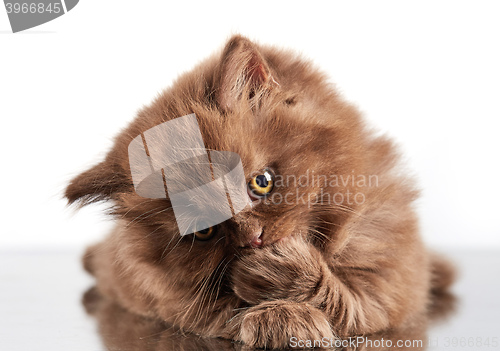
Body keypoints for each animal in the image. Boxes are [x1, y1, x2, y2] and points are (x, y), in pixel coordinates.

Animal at [64, 35, 456, 350]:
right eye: (204, 231)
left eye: (261, 182)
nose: (253, 239)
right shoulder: (168, 299)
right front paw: (280, 319)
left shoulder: (393, 273)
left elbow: (352, 298)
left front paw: (280, 280)